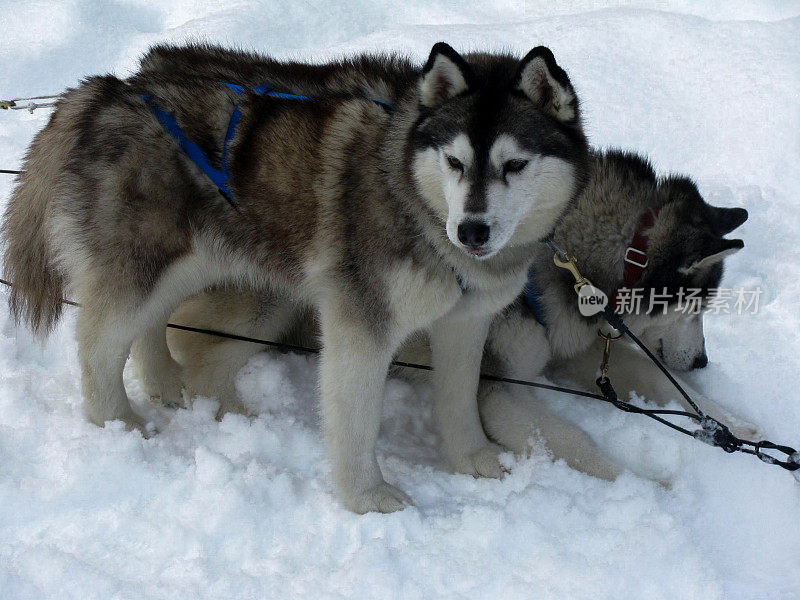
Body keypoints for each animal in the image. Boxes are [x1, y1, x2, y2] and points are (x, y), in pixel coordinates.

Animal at [0, 43, 588, 510]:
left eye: (515, 165)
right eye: (455, 162)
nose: (472, 229)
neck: (411, 194)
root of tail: (104, 90)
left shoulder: (465, 324)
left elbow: (461, 399)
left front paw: (474, 458)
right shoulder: (362, 326)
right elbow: (355, 421)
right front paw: (366, 496)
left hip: (200, 267)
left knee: (154, 329)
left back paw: (184, 393)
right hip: (148, 266)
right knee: (99, 344)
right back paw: (119, 424)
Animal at [150, 150, 752, 482]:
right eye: (696, 307)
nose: (702, 361)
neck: (568, 261)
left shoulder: (573, 350)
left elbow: (655, 375)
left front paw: (733, 424)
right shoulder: (499, 388)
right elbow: (579, 441)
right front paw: (646, 482)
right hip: (273, 305)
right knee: (194, 350)